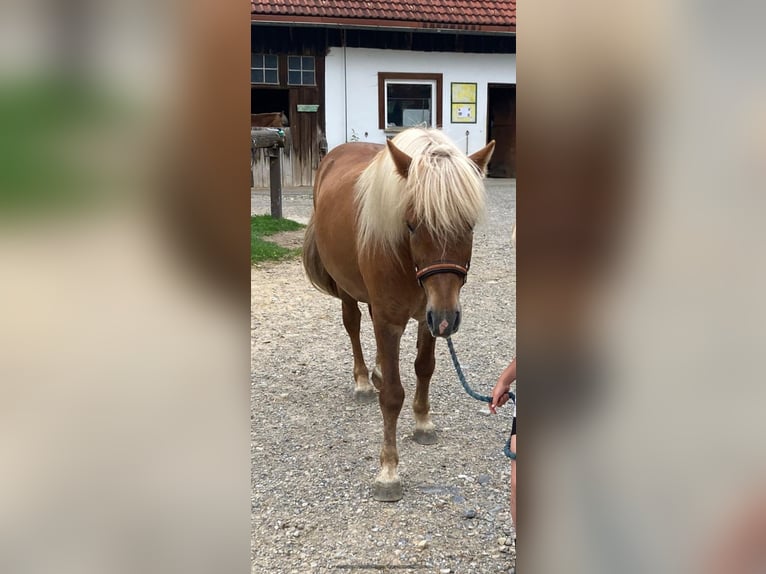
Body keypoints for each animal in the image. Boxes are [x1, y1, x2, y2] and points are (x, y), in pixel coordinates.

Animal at [302, 128, 495, 501]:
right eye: (412, 225)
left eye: (469, 225)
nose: (448, 318)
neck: (405, 259)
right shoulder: (393, 319)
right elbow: (392, 396)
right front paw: (388, 472)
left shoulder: (427, 314)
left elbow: (424, 368)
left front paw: (423, 422)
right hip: (347, 289)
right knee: (353, 325)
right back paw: (364, 381)